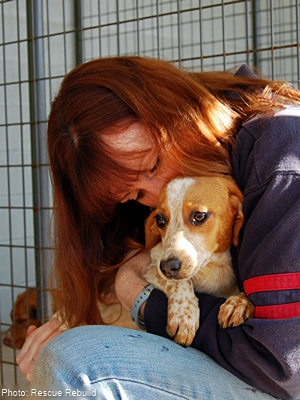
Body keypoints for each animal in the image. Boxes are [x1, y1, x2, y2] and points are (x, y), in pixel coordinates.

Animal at [144, 175, 254, 346]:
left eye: (199, 215)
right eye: (160, 220)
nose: (167, 267)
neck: (213, 266)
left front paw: (239, 303)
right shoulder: (153, 266)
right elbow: (178, 283)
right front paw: (183, 314)